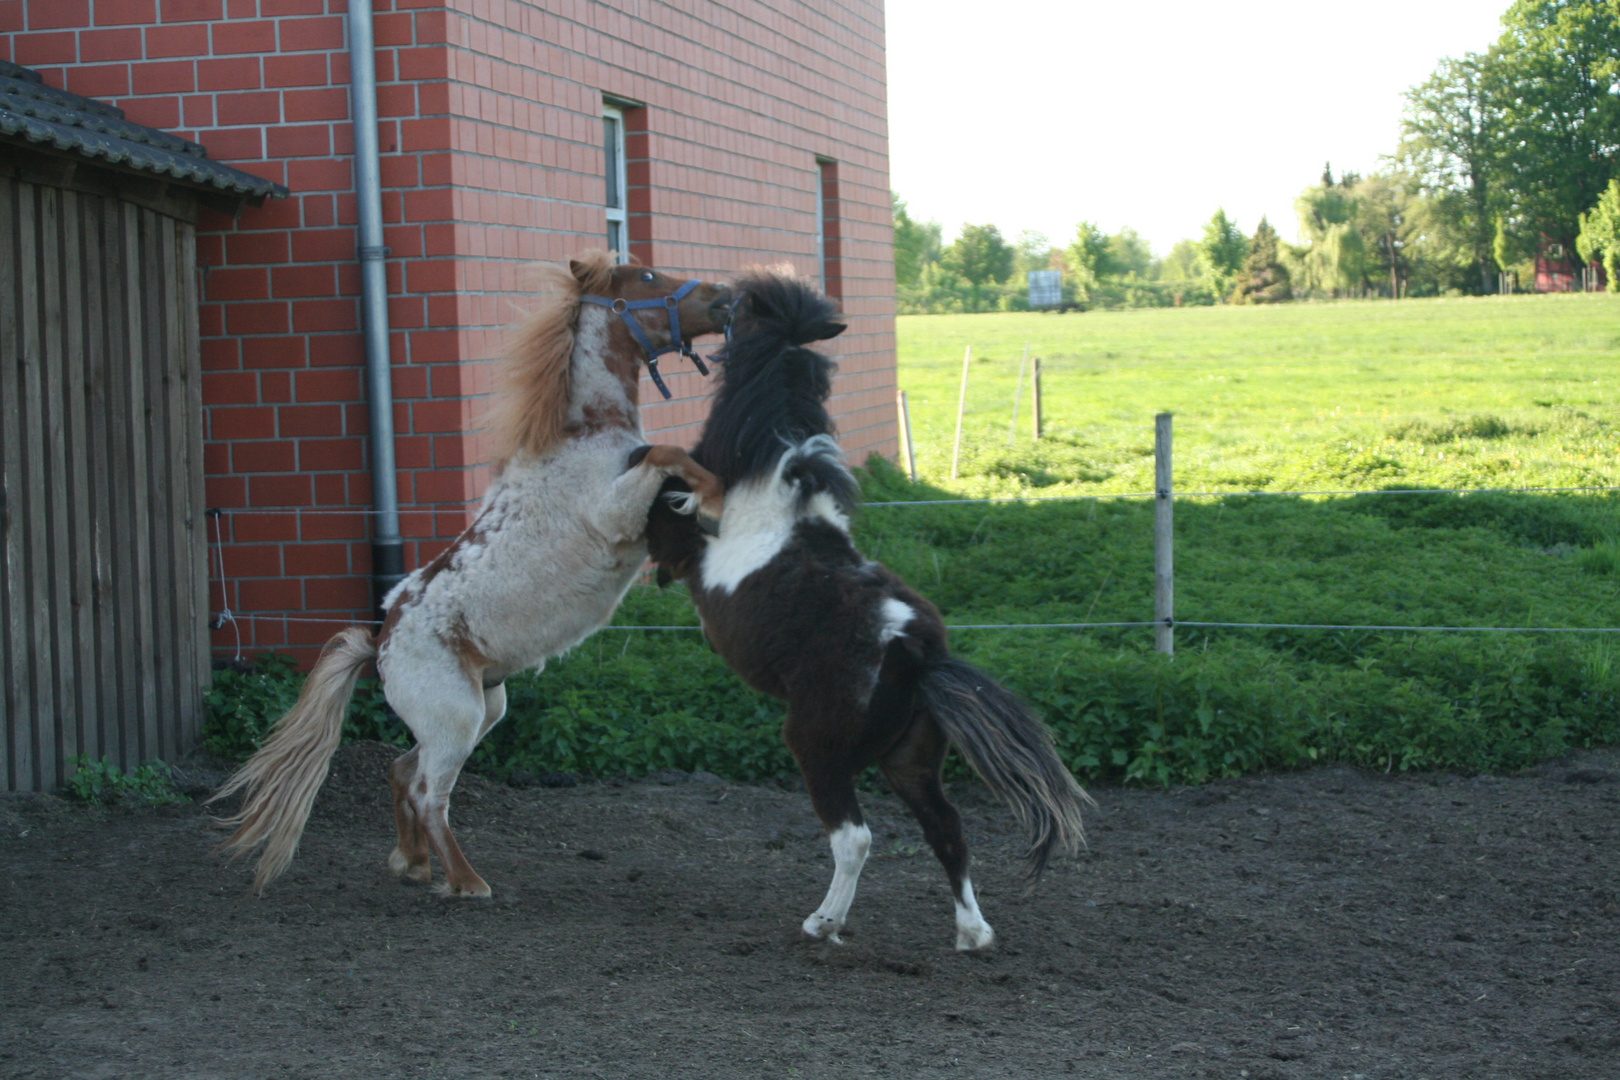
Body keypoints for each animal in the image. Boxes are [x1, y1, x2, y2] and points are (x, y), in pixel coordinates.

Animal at [212, 254, 732, 893]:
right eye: (650, 279)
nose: (724, 297)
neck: (586, 435)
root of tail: (381, 644)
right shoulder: (613, 514)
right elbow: (667, 454)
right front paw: (715, 498)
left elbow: (673, 456)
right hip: (455, 719)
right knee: (428, 792)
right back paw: (464, 881)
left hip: (483, 711)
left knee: (402, 770)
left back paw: (413, 863)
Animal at [651, 272, 1095, 952]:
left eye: (742, 314)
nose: (714, 301)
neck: (773, 480)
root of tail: (917, 654)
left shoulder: (687, 529)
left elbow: (665, 498)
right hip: (908, 759)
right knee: (947, 828)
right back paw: (973, 933)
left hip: (818, 746)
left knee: (855, 838)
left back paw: (823, 923)